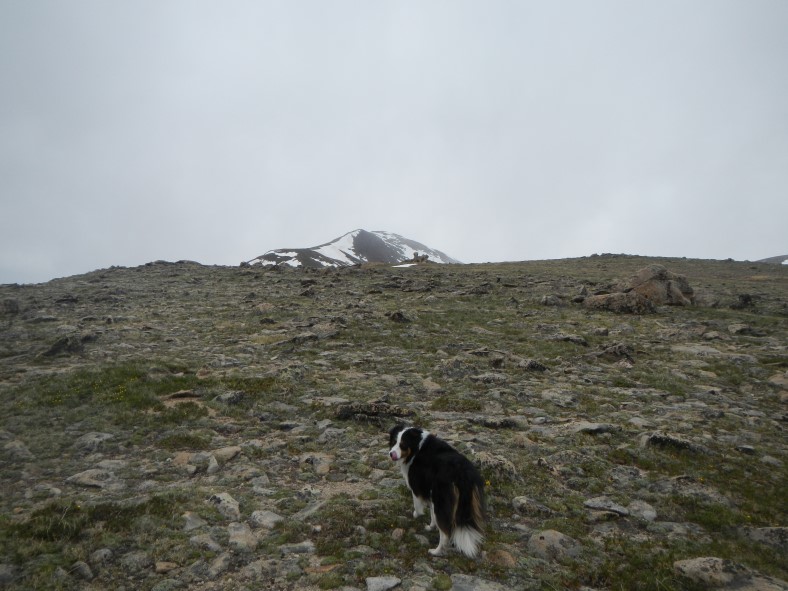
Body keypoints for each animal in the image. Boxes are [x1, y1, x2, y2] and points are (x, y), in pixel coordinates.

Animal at [386, 424, 484, 556]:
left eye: (403, 445)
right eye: (393, 442)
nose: (391, 454)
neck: (417, 447)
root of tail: (462, 473)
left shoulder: (417, 485)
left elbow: (418, 505)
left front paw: (416, 515)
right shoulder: (432, 491)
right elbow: (432, 512)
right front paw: (431, 526)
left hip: (442, 498)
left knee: (445, 532)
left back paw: (436, 551)